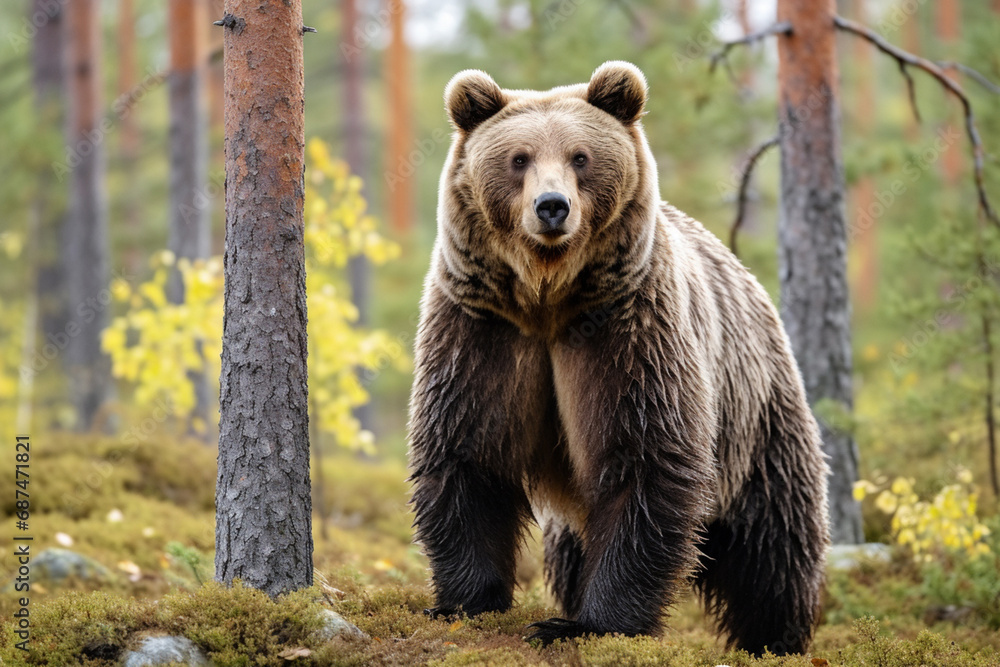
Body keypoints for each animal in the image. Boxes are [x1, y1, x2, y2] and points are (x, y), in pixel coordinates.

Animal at [407, 61, 830, 656]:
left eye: (580, 156)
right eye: (519, 158)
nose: (552, 206)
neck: (548, 296)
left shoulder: (627, 328)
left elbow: (644, 458)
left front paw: (592, 623)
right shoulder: (484, 326)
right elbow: (466, 450)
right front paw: (464, 602)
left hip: (756, 416)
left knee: (774, 540)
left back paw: (776, 637)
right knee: (568, 549)